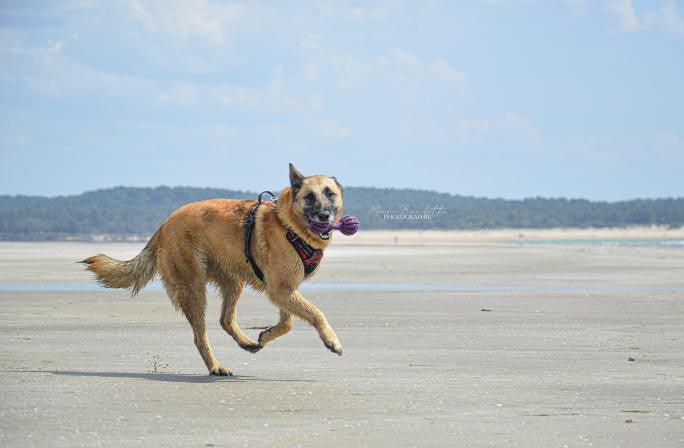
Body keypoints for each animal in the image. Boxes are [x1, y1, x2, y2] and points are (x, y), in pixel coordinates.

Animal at [83, 164, 344, 374]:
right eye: (309, 197)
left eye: (330, 194)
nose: (324, 215)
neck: (288, 224)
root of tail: (164, 225)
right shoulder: (281, 290)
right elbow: (316, 312)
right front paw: (331, 339)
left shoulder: (284, 291)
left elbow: (288, 322)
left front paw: (267, 334)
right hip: (193, 289)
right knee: (200, 336)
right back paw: (216, 366)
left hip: (233, 282)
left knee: (225, 320)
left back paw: (246, 342)